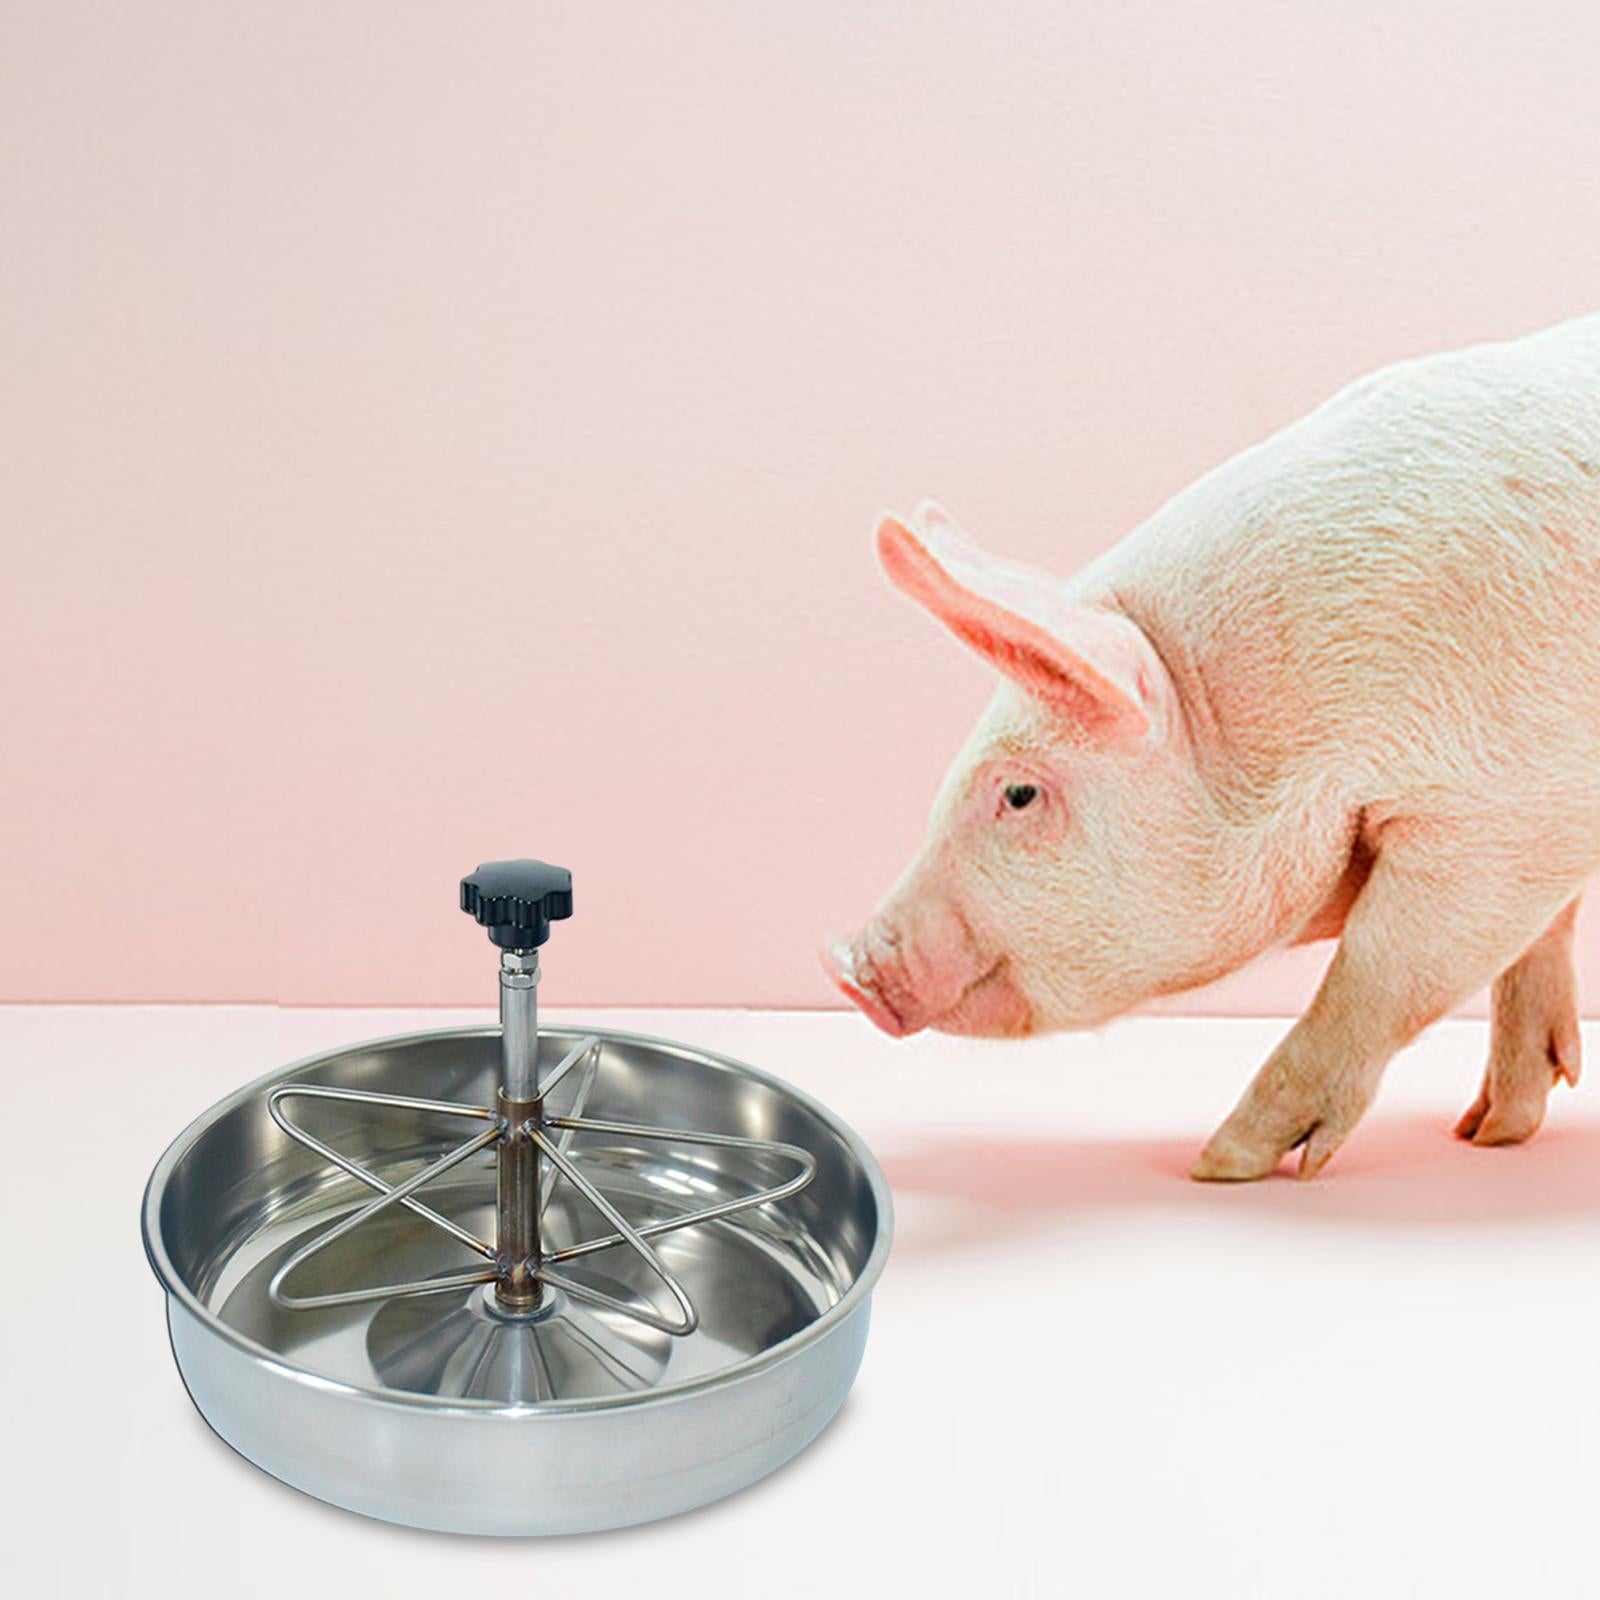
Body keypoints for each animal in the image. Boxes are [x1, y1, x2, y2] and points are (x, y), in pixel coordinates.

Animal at [824, 313, 1600, 1180]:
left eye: (1019, 794)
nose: (845, 966)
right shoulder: (1547, 825)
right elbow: (1535, 944)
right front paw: (1489, 1133)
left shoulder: (1499, 818)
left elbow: (1379, 971)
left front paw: (1223, 1164)